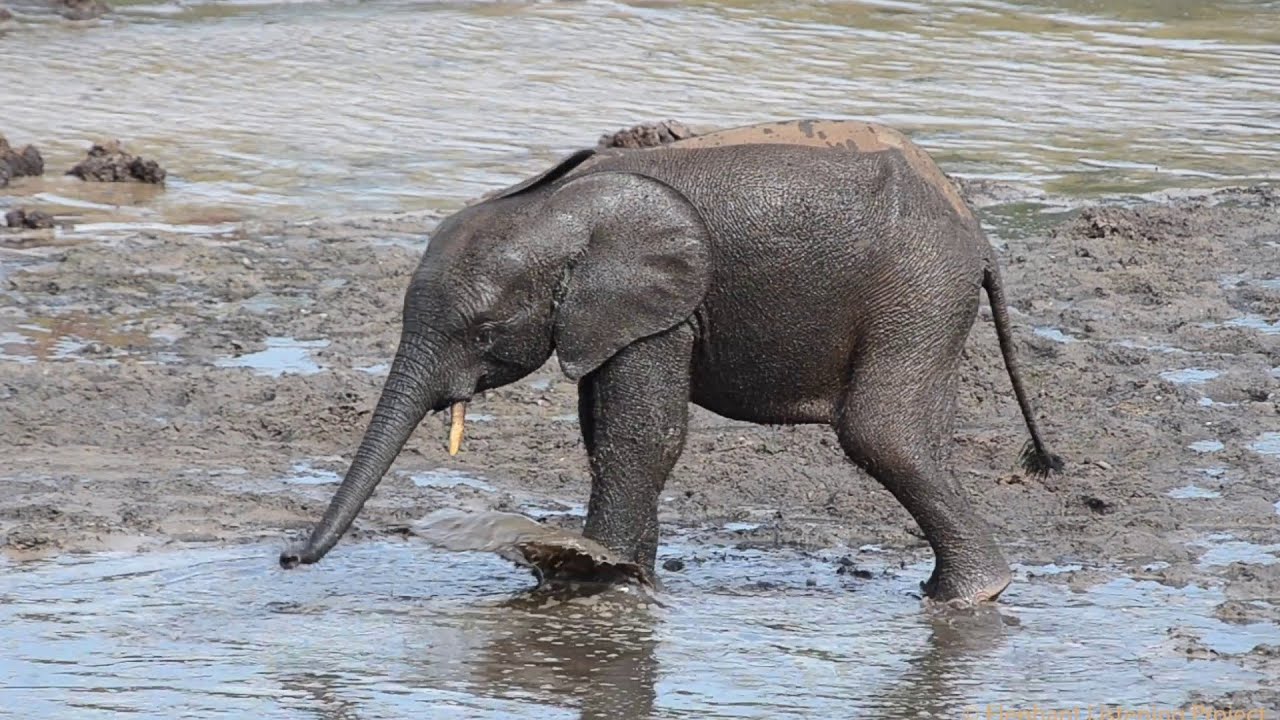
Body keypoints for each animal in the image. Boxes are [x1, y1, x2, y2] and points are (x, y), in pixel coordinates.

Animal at [280, 118, 1064, 605]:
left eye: (484, 331)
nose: (287, 561)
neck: (560, 204)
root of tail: (977, 232)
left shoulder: (666, 307)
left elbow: (641, 437)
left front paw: (594, 580)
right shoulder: (606, 319)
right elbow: (602, 433)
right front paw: (618, 576)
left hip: (916, 291)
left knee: (880, 433)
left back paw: (970, 596)